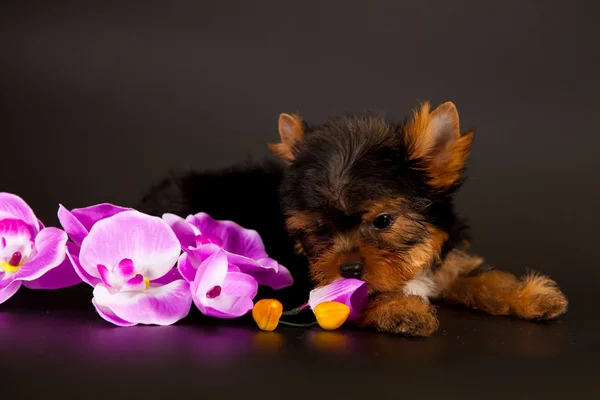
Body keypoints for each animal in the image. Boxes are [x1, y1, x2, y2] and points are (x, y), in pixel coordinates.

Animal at [138, 101, 568, 336]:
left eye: (383, 221)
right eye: (318, 229)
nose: (348, 267)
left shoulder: (444, 260)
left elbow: (479, 277)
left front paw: (529, 295)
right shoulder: (313, 286)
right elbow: (366, 296)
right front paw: (404, 310)